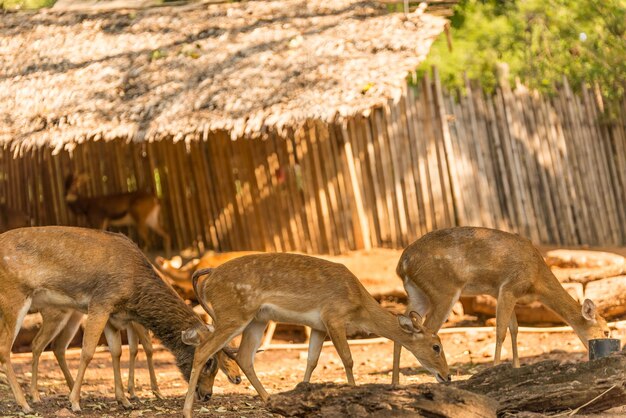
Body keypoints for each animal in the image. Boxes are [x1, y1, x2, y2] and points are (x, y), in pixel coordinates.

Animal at [0, 225, 236, 412]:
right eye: (209, 361)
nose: (207, 394)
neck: (133, 291)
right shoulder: (101, 302)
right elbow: (88, 352)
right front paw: (74, 402)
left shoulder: (114, 316)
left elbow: (116, 351)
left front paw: (124, 400)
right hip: (15, 298)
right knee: (7, 349)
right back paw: (25, 404)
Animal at [180, 251, 448, 418]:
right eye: (436, 346)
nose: (446, 376)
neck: (359, 307)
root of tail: (209, 278)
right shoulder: (333, 317)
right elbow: (347, 359)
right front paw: (352, 395)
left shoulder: (318, 326)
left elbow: (312, 360)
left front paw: (302, 397)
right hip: (234, 314)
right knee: (203, 350)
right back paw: (187, 411)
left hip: (257, 319)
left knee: (245, 357)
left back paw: (270, 402)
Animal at [390, 227, 608, 384]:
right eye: (606, 330)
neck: (536, 279)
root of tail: (402, 264)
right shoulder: (510, 288)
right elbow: (501, 330)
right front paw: (495, 369)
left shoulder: (501, 293)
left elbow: (514, 329)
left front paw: (517, 367)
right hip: (443, 291)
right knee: (428, 331)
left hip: (417, 294)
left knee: (401, 328)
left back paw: (395, 383)